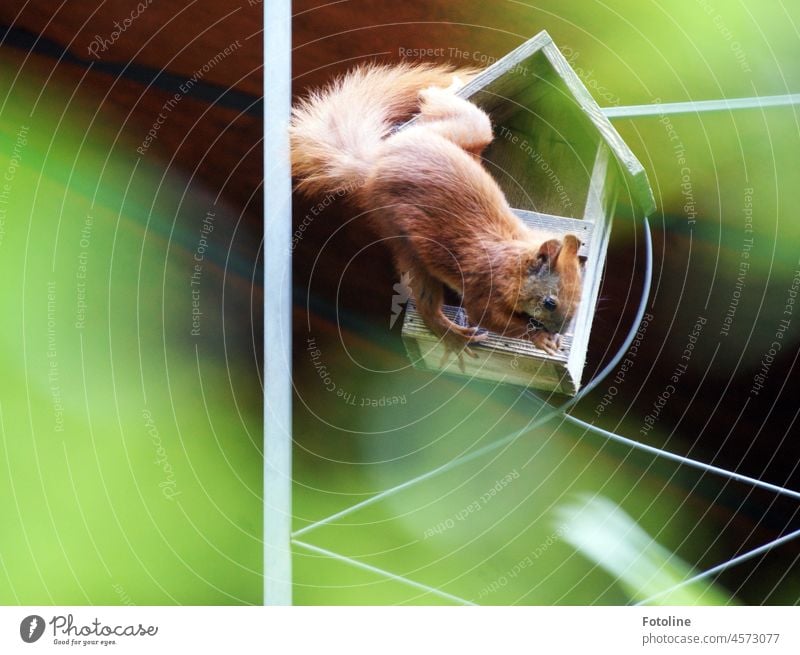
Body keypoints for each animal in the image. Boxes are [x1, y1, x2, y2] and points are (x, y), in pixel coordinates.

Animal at [290, 62, 580, 364]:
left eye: (580, 298)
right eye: (550, 302)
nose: (560, 330)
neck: (512, 261)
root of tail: (375, 163)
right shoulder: (484, 286)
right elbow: (488, 318)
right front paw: (539, 337)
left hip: (462, 133)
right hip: (404, 238)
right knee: (426, 303)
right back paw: (451, 333)